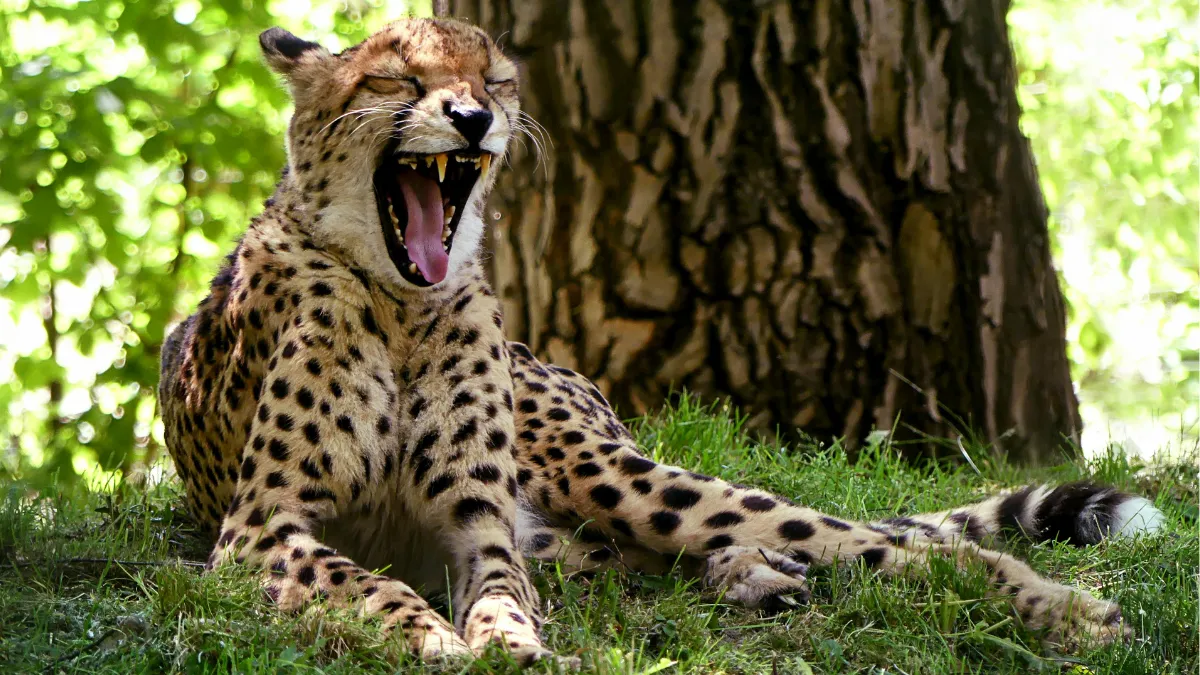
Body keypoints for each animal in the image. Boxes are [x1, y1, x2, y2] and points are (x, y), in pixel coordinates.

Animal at [158, 17, 1166, 667]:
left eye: (494, 83)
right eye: (398, 80)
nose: (475, 119)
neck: (403, 302)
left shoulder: (479, 521)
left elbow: (498, 595)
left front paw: (505, 642)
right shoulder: (262, 528)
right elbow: (373, 583)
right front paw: (439, 640)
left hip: (604, 471)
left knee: (886, 543)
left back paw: (1063, 611)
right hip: (573, 523)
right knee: (658, 556)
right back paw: (761, 578)